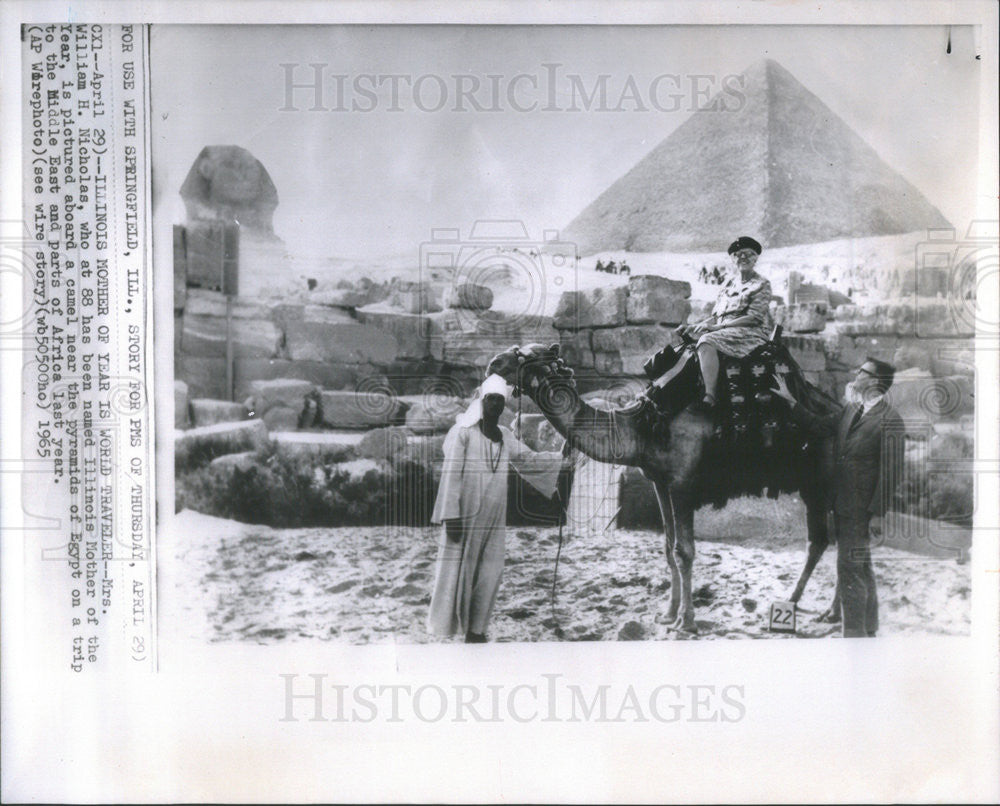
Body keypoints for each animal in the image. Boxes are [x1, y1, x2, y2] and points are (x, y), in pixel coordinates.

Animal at [486, 338, 844, 636]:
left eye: (526, 354)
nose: (493, 362)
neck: (645, 425)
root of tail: (839, 411)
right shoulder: (660, 482)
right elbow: (668, 549)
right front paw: (667, 614)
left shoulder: (683, 482)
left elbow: (684, 551)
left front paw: (686, 622)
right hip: (812, 486)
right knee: (821, 541)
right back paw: (801, 604)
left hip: (830, 481)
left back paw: (830, 613)